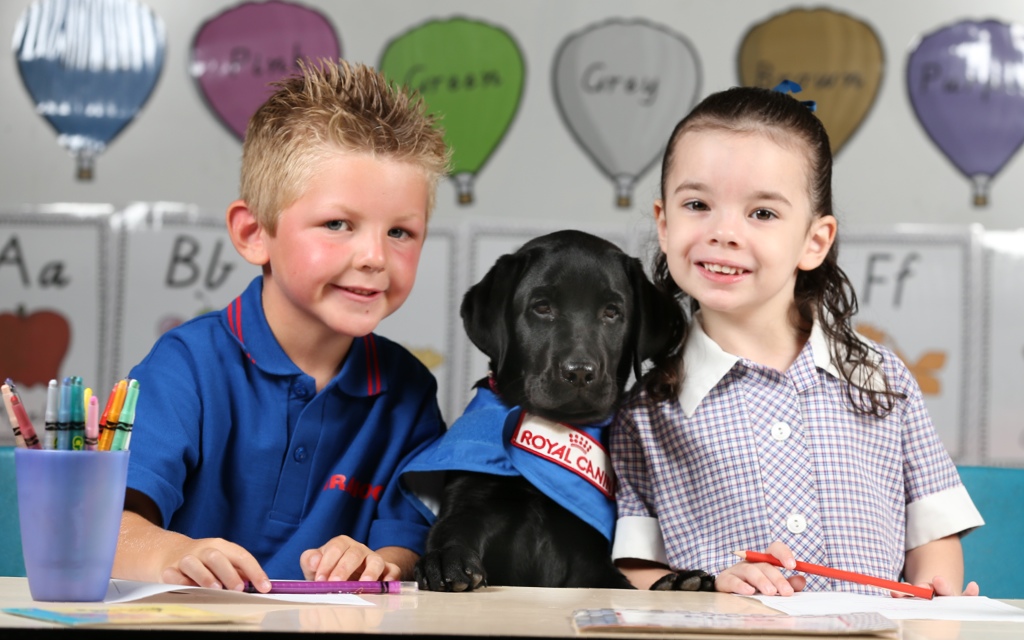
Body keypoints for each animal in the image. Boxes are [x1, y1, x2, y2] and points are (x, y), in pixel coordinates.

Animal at [401, 229, 712, 589]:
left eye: (611, 312)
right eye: (542, 308)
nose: (579, 372)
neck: (555, 428)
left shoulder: (590, 553)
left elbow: (618, 583)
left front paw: (674, 584)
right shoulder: (470, 496)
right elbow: (451, 527)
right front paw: (445, 559)